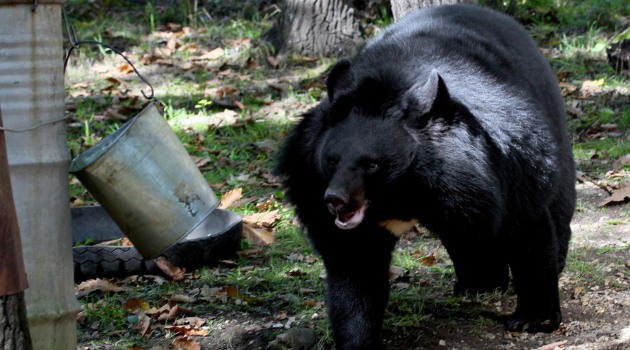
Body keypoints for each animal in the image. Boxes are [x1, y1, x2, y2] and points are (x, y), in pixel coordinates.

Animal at [276, 4, 576, 348]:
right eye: (331, 160)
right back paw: (479, 283)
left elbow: (527, 228)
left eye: (372, 165)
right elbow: (355, 265)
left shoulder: (507, 165)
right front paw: (357, 340)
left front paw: (534, 319)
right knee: (468, 236)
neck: (405, 192)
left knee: (558, 202)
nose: (335, 201)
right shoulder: (310, 183)